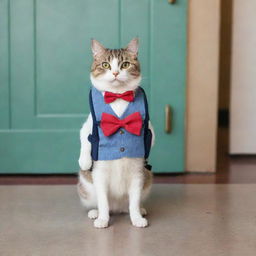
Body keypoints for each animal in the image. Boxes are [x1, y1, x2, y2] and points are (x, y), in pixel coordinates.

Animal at [77, 38, 155, 228]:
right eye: (105, 64)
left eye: (125, 64)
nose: (115, 73)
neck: (118, 97)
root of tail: (118, 208)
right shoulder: (88, 125)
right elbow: (85, 137)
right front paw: (103, 220)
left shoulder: (148, 127)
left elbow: (150, 136)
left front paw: (137, 219)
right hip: (91, 186)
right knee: (102, 203)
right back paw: (96, 213)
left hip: (142, 179)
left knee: (132, 203)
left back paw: (139, 211)